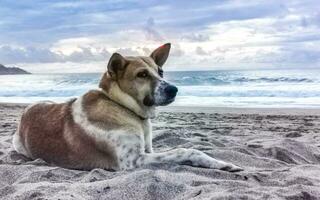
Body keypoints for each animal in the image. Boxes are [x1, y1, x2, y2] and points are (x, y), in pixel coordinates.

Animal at [12, 43, 242, 172]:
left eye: (160, 71)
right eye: (142, 74)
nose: (174, 90)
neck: (122, 106)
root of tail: (27, 111)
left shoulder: (148, 151)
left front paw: (220, 164)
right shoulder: (134, 160)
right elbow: (187, 150)